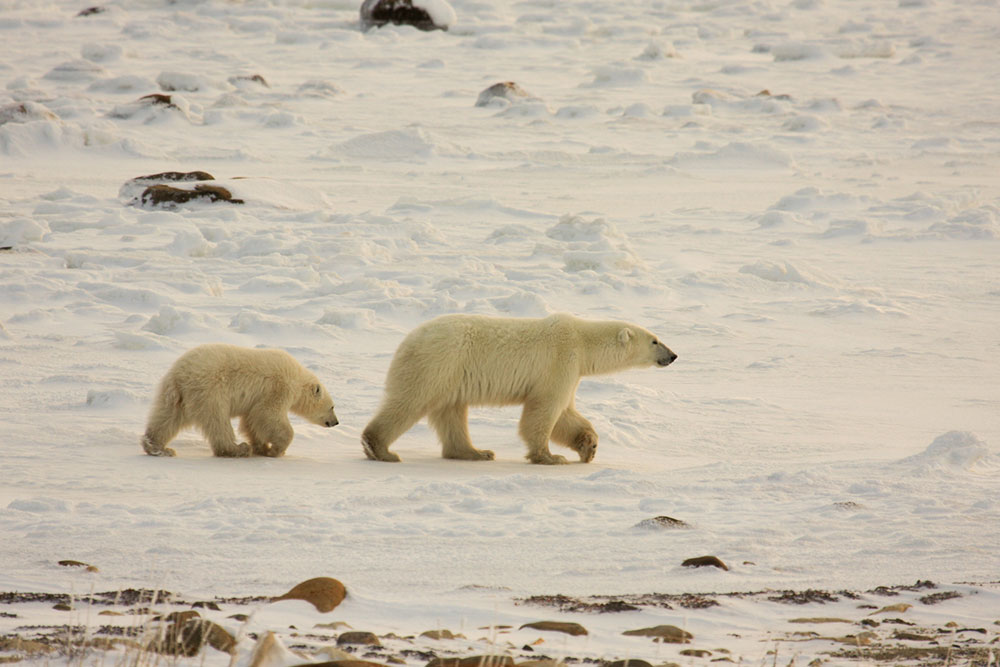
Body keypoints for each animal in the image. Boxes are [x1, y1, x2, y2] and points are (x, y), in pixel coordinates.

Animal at [141, 344, 338, 458]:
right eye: (332, 406)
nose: (336, 422)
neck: (297, 378)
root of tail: (179, 375)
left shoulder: (257, 399)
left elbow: (251, 420)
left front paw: (261, 447)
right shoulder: (278, 387)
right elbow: (268, 414)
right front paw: (275, 450)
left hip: (176, 396)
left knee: (166, 418)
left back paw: (157, 447)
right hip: (210, 390)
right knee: (218, 420)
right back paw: (237, 449)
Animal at [361, 313, 676, 465]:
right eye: (655, 340)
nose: (673, 355)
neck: (582, 340)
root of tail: (409, 339)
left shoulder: (571, 371)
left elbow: (566, 413)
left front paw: (589, 446)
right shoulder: (560, 361)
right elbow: (544, 410)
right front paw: (550, 457)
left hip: (451, 376)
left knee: (452, 413)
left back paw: (476, 452)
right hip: (438, 363)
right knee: (409, 402)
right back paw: (380, 449)